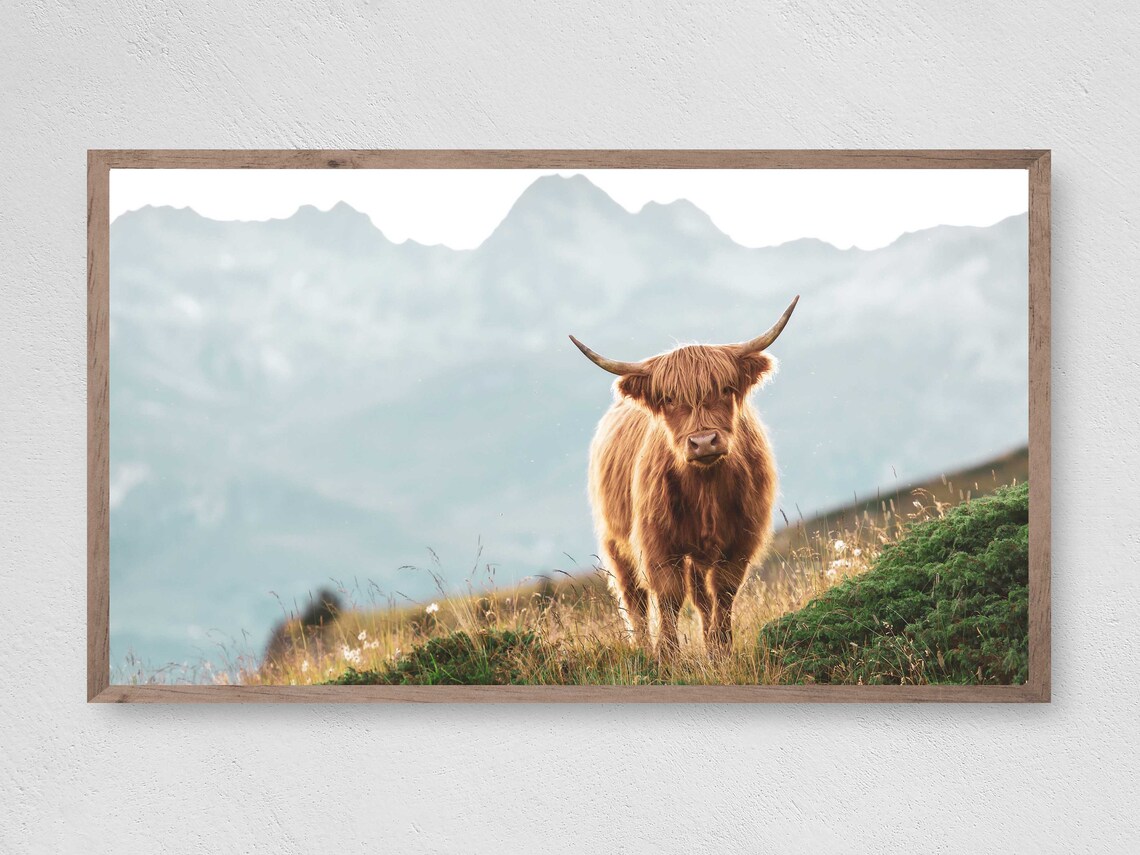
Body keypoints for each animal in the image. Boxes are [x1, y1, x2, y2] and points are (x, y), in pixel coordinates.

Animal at [570, 296, 798, 659]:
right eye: (668, 398)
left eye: (726, 388)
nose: (703, 442)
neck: (706, 488)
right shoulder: (657, 543)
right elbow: (668, 597)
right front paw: (668, 655)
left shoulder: (741, 540)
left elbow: (723, 592)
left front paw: (720, 649)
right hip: (615, 541)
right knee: (634, 598)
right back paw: (643, 648)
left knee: (701, 595)